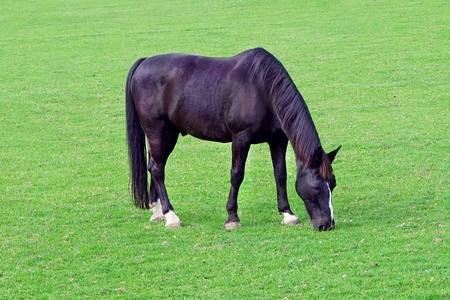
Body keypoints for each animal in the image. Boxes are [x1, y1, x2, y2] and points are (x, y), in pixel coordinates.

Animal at [125, 48, 340, 232]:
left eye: (333, 184)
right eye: (316, 187)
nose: (327, 225)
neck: (263, 89)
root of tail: (144, 62)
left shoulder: (278, 140)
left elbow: (280, 174)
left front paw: (287, 214)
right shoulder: (240, 138)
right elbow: (237, 175)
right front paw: (232, 218)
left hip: (168, 134)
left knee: (153, 165)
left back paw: (157, 212)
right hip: (157, 131)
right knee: (158, 169)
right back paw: (170, 216)